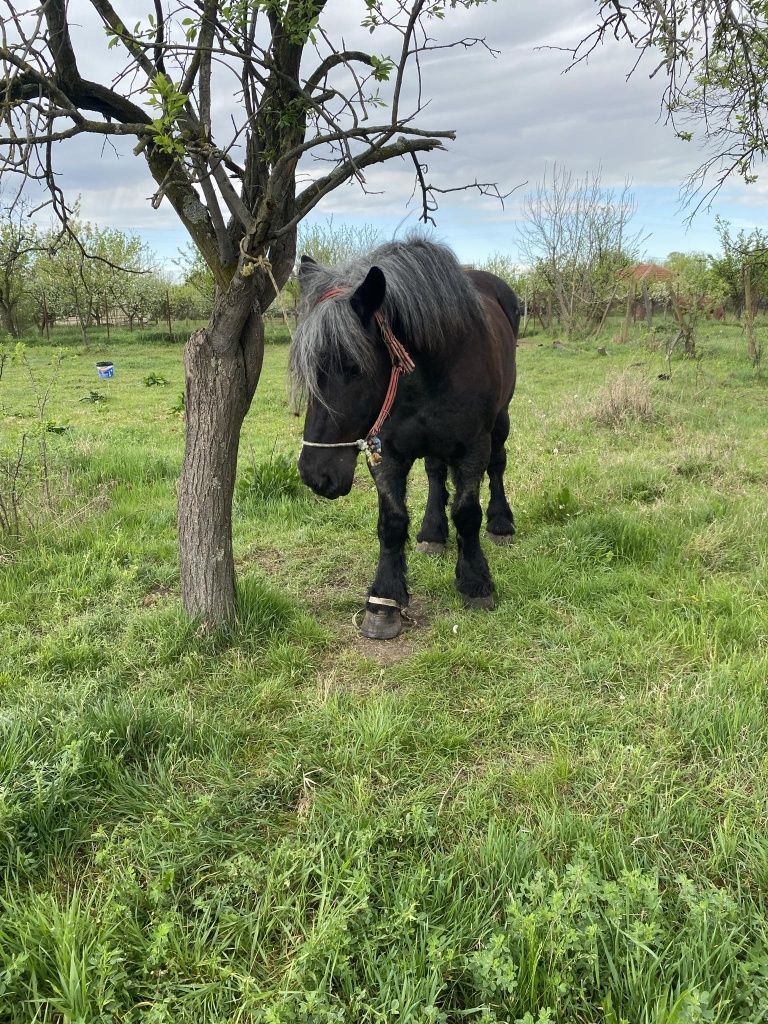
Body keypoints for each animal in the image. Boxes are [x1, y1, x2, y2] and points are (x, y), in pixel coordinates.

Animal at [290, 239, 520, 638]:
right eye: (307, 368)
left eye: (354, 367)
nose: (316, 475)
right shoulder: (388, 452)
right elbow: (392, 522)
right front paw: (384, 600)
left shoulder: (472, 448)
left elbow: (467, 513)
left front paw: (476, 583)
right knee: (435, 473)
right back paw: (432, 533)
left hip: (500, 423)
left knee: (498, 465)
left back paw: (501, 522)